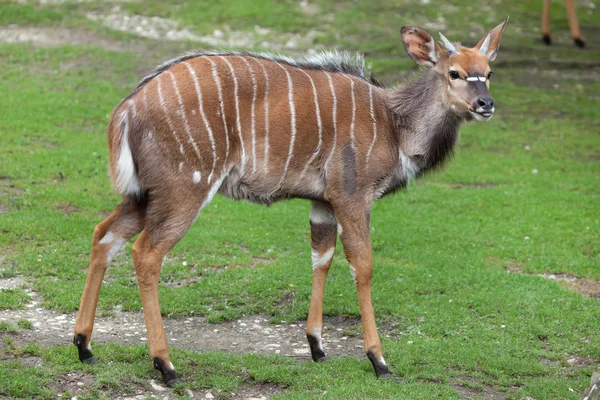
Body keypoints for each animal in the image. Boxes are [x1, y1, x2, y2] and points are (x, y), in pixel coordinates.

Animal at [72, 18, 508, 384]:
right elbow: (362, 266)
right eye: (454, 72)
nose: (485, 104)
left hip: (144, 194)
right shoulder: (353, 196)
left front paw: (317, 346)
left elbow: (321, 258)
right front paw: (379, 360)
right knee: (146, 252)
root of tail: (127, 109)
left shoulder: (323, 203)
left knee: (104, 235)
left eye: (488, 73)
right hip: (185, 189)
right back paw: (165, 365)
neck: (394, 125)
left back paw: (84, 346)